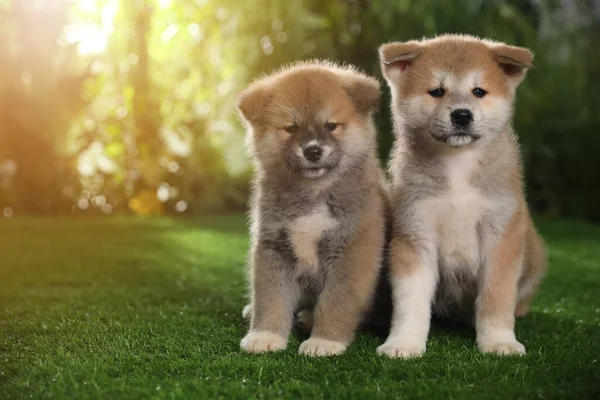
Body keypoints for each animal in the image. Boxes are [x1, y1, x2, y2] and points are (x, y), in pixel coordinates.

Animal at [239, 61, 390, 356]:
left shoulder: (352, 251)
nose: (313, 151)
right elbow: (270, 298)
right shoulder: (273, 247)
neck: (312, 194)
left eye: (330, 126)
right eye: (291, 127)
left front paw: (325, 341)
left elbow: (336, 302)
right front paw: (265, 335)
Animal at [380, 35, 548, 360]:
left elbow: (496, 296)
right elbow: (410, 303)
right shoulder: (415, 233)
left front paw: (498, 342)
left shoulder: (500, 234)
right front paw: (403, 343)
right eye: (437, 91)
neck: (457, 165)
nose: (461, 114)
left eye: (478, 91)